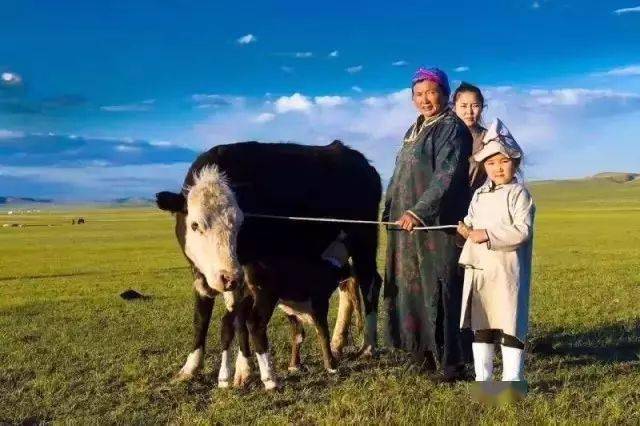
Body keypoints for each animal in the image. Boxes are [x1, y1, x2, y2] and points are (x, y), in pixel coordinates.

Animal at [158, 141, 382, 388]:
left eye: (240, 223)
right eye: (195, 224)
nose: (228, 277)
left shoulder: (248, 279)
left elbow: (241, 321)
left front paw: (243, 370)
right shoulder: (201, 276)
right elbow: (201, 319)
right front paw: (190, 368)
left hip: (364, 241)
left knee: (370, 282)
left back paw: (369, 346)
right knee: (348, 285)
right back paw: (337, 343)